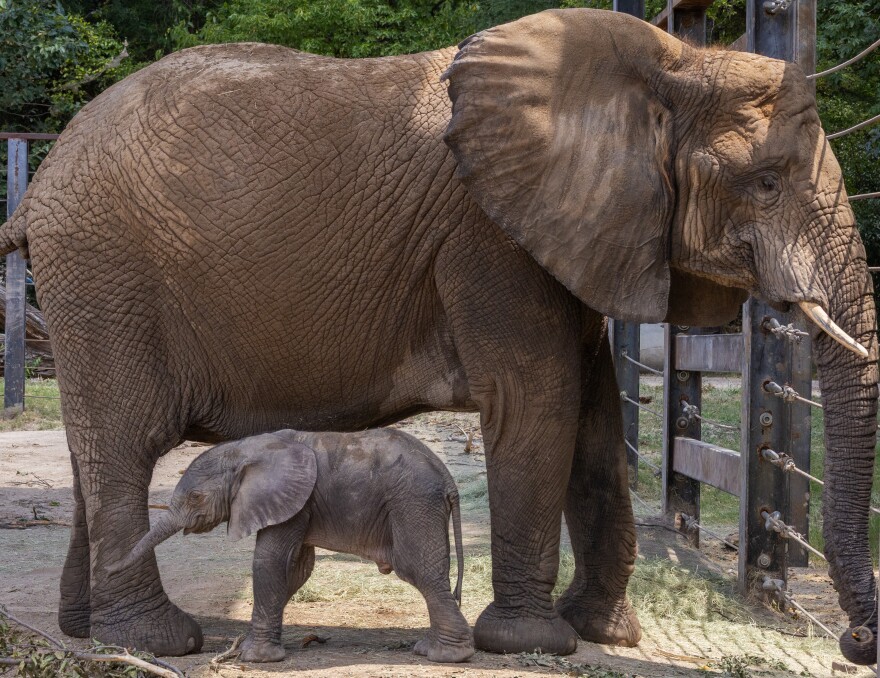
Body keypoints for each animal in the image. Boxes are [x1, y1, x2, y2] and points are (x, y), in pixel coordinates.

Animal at [110, 428, 473, 664]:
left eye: (195, 497)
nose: (109, 567)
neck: (244, 449)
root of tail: (448, 477)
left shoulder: (289, 498)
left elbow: (269, 561)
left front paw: (254, 658)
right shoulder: (298, 503)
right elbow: (295, 569)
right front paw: (252, 649)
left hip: (413, 502)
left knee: (418, 570)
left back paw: (446, 656)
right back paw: (427, 649)